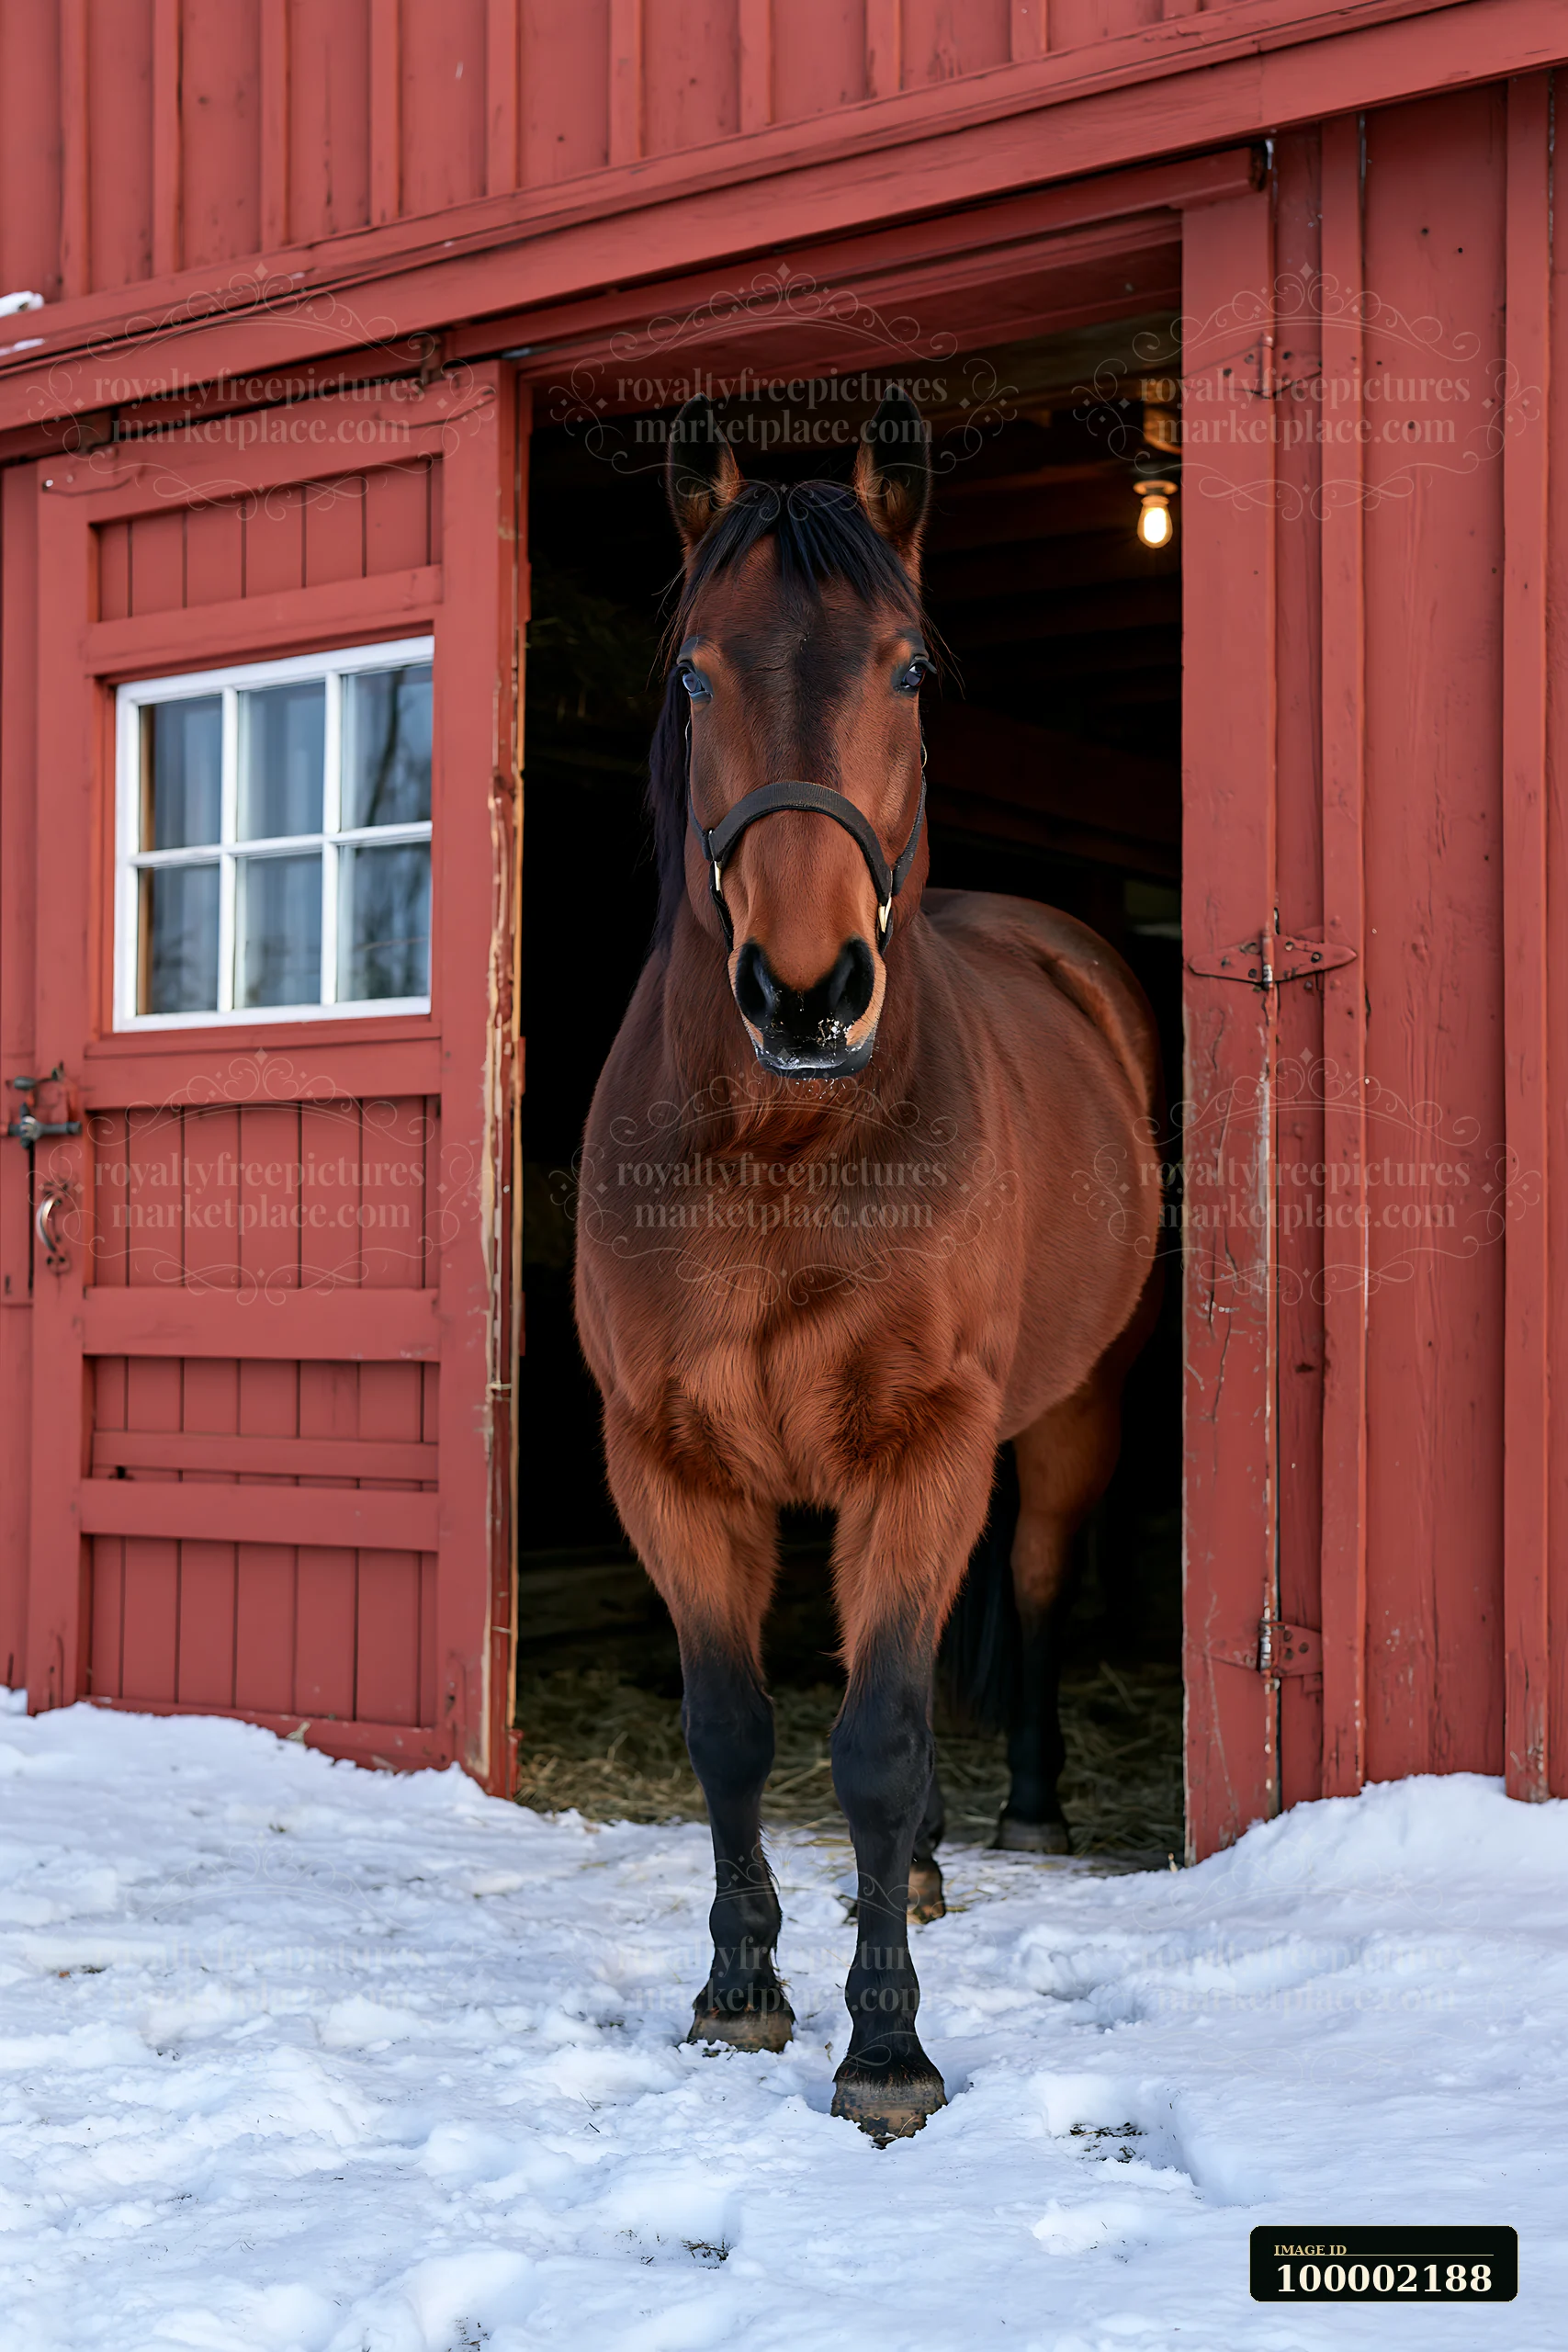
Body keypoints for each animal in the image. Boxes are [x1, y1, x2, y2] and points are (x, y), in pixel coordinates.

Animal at [573, 388, 1162, 2142]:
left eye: (904, 669)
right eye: (696, 673)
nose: (807, 992)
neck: (783, 1149)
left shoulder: (923, 1447)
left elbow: (882, 1741)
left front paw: (886, 2049)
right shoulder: (671, 1463)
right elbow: (731, 1730)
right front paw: (737, 1996)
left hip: (1061, 1423)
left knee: (1025, 1591)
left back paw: (1021, 1813)